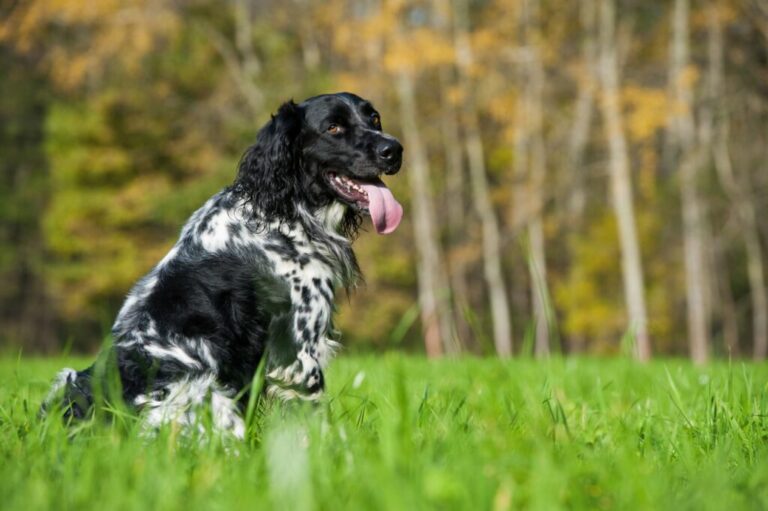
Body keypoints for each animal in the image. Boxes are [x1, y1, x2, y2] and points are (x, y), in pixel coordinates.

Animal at [43, 92, 402, 436]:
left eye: (374, 118)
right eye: (333, 127)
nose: (394, 149)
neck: (283, 210)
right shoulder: (298, 352)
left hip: (67, 379)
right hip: (207, 393)